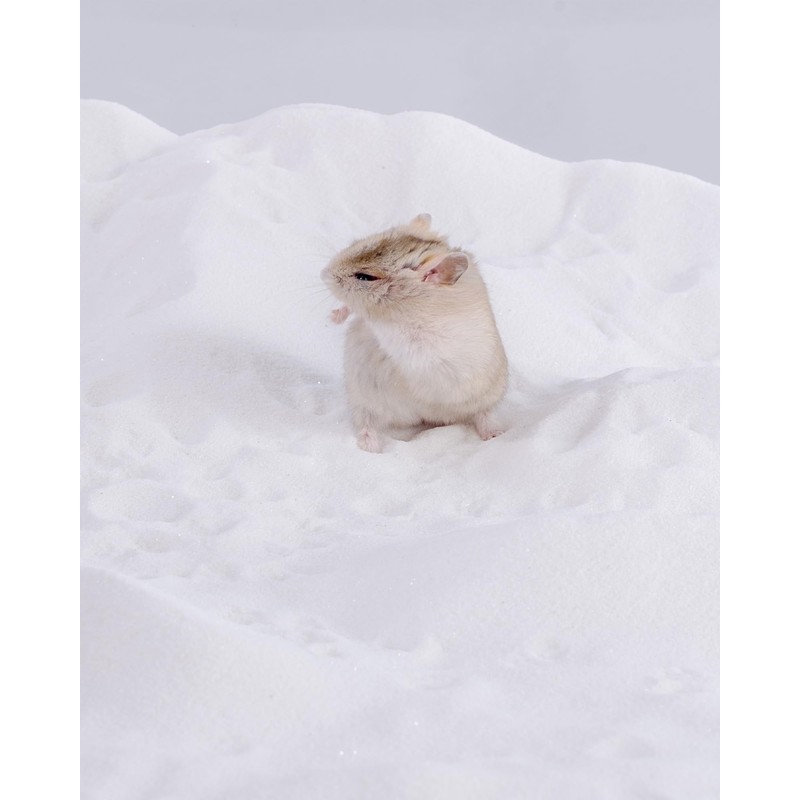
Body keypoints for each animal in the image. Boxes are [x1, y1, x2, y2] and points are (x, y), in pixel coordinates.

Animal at [321, 213, 508, 453]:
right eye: (356, 243)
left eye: (365, 277)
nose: (323, 274)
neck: (411, 306)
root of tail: (426, 418)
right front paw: (333, 317)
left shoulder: (417, 343)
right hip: (362, 398)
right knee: (366, 421)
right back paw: (370, 447)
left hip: (487, 395)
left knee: (483, 414)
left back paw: (495, 435)